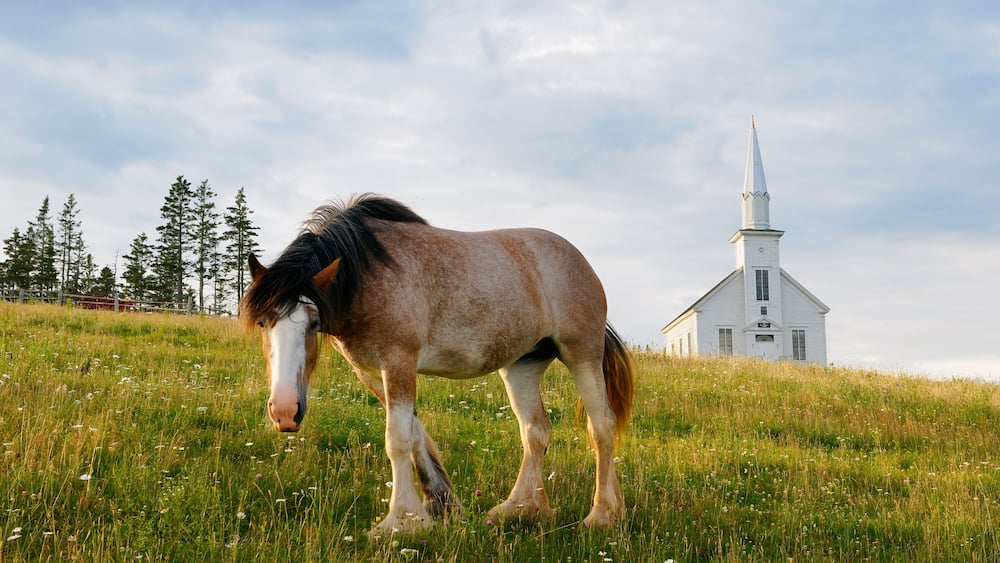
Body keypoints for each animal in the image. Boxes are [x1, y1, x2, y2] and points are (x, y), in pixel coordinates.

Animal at [240, 194, 634, 534]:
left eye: (312, 323)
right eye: (262, 322)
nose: (285, 412)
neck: (367, 275)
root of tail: (581, 262)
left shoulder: (399, 361)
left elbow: (397, 439)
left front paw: (400, 520)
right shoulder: (373, 372)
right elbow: (416, 435)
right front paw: (438, 505)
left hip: (582, 355)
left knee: (601, 426)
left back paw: (602, 515)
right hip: (523, 364)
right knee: (535, 431)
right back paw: (520, 509)